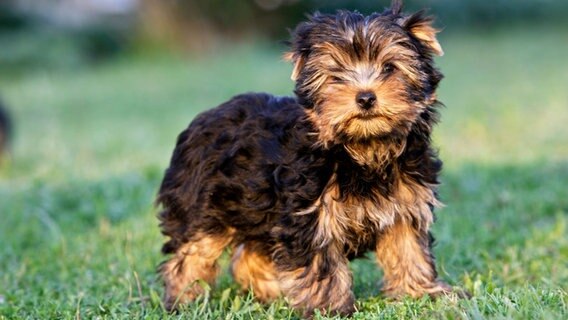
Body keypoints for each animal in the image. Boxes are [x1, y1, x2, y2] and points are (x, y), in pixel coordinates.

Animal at [158, 0, 460, 316]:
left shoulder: (405, 204)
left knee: (251, 252)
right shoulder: (310, 213)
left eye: (390, 67)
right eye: (336, 73)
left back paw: (269, 294)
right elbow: (321, 262)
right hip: (202, 204)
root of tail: (203, 119)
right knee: (193, 252)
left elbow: (408, 249)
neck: (363, 149)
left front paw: (422, 292)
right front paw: (330, 308)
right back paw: (183, 299)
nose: (365, 97)